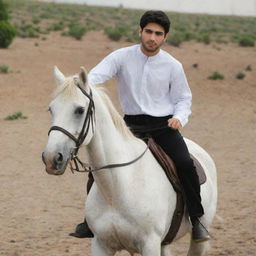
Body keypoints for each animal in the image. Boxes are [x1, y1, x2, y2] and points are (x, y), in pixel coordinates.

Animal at [43, 67, 217, 256]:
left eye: (80, 110)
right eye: (51, 109)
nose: (51, 158)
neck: (117, 188)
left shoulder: (150, 244)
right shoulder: (100, 244)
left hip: (197, 239)